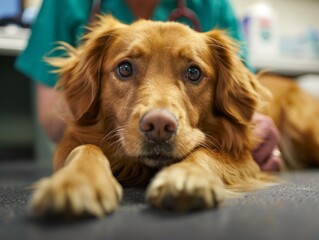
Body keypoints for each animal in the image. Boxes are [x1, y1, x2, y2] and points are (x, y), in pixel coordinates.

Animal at [29, 15, 318, 218]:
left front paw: (186, 177)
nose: (158, 125)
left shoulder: (243, 155)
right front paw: (76, 182)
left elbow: (204, 152)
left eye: (194, 72)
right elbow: (85, 149)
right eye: (125, 68)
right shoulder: (72, 142)